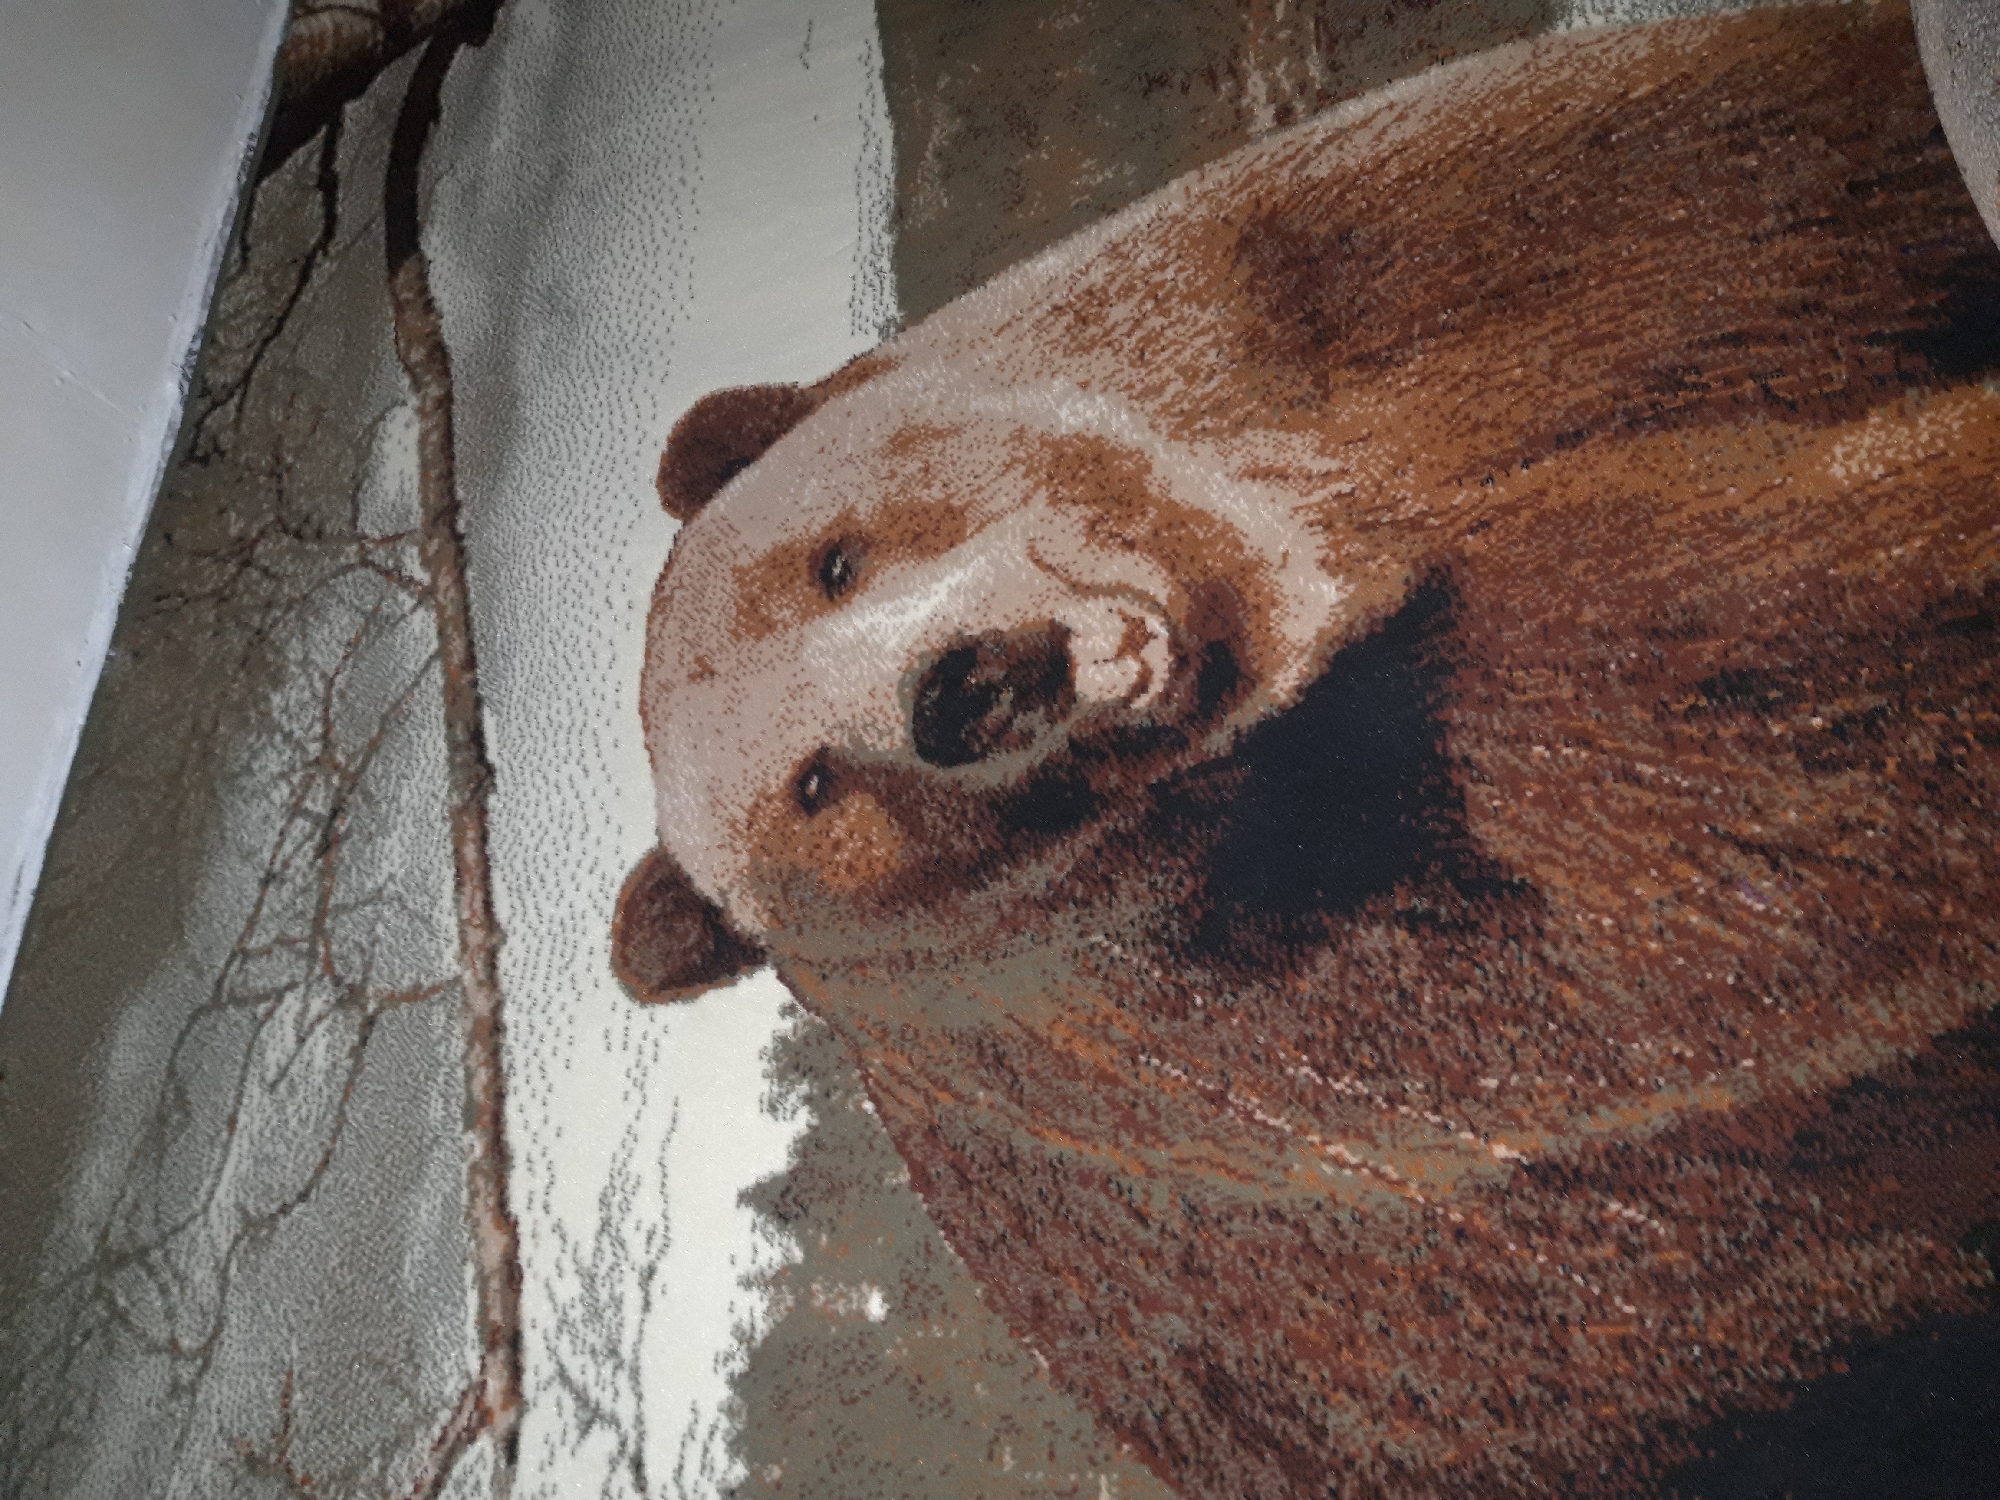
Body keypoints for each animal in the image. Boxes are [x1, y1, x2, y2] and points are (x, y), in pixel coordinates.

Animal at [614, 5, 2000, 1497]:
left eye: (833, 561)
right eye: (815, 784)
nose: (965, 689)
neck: (1312, 552)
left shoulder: (1355, 286)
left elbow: (1755, 159)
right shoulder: (1279, 969)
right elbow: (1764, 734)